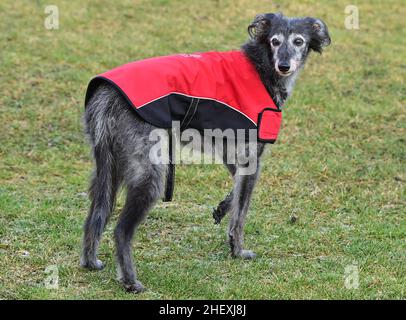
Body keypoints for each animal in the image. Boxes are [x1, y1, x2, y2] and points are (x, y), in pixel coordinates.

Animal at [80, 13, 330, 292]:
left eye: (299, 41)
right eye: (275, 41)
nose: (284, 66)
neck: (260, 65)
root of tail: (107, 94)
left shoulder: (232, 152)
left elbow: (235, 192)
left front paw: (222, 209)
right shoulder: (251, 159)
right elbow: (240, 215)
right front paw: (237, 250)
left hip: (108, 169)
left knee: (96, 215)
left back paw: (90, 261)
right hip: (149, 176)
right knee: (121, 230)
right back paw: (130, 281)